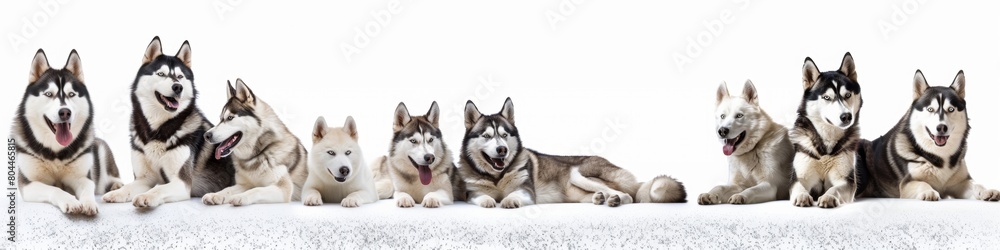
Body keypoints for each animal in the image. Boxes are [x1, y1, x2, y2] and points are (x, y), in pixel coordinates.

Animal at [12, 49, 124, 215]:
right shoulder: (28, 184)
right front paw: (70, 201)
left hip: (102, 148)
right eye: (48, 94)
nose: (65, 112)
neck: (56, 153)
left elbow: (88, 188)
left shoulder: (83, 177)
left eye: (71, 94)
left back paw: (116, 186)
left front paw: (89, 203)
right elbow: (55, 189)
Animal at [102, 37, 235, 208]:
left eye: (180, 76)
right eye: (161, 74)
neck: (156, 130)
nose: (177, 87)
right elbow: (129, 187)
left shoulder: (181, 182)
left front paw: (146, 196)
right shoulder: (144, 179)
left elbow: (158, 189)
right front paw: (116, 193)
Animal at [460, 97, 688, 209]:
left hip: (578, 174)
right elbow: (481, 197)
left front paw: (508, 201)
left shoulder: (527, 190)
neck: (497, 177)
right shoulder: (472, 192)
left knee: (627, 196)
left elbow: (515, 194)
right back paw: (602, 199)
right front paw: (489, 201)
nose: (502, 149)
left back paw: (615, 200)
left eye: (504, 135)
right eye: (487, 136)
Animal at [792, 52, 864, 209]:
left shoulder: (846, 180)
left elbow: (834, 188)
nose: (846, 116)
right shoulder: (801, 176)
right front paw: (802, 196)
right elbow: (798, 186)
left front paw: (828, 197)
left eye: (847, 95)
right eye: (826, 97)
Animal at [856, 70, 996, 201]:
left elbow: (977, 184)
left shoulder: (961, 182)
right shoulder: (907, 183)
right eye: (930, 109)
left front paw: (987, 191)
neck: (940, 157)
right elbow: (922, 183)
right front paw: (928, 192)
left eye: (951, 109)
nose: (941, 127)